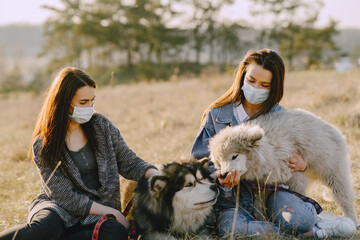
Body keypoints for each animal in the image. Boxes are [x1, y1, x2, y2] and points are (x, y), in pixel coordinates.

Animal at [208, 108, 358, 224]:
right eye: (219, 161)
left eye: (234, 156)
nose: (223, 175)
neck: (269, 147)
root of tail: (334, 130)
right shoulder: (263, 183)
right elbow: (259, 205)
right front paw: (262, 220)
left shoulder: (296, 178)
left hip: (334, 172)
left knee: (344, 197)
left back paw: (352, 221)